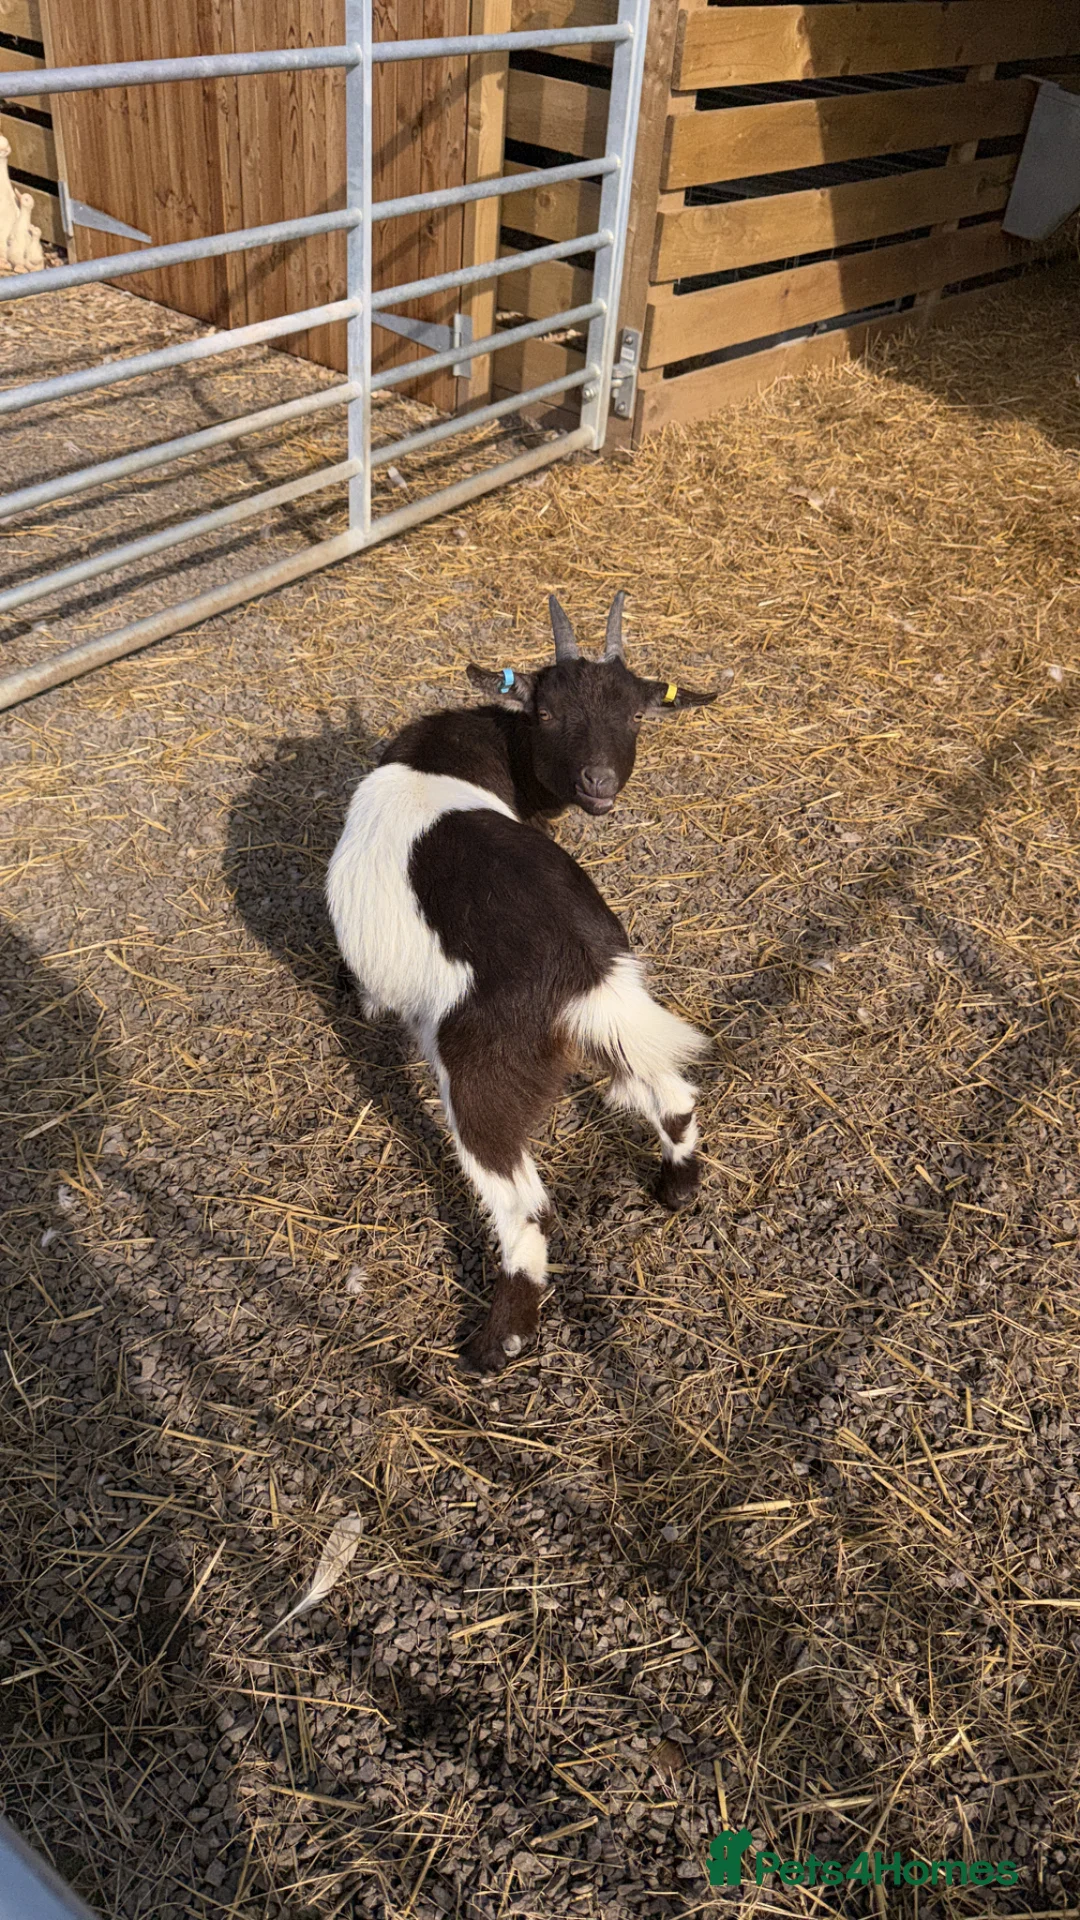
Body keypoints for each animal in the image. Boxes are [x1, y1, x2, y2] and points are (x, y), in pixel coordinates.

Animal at [326, 592, 717, 1375]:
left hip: (479, 1073)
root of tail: (580, 966)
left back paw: (499, 1337)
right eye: (546, 712)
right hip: (623, 1010)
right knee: (673, 1094)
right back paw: (677, 1185)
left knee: (522, 1201)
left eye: (635, 715)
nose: (598, 784)